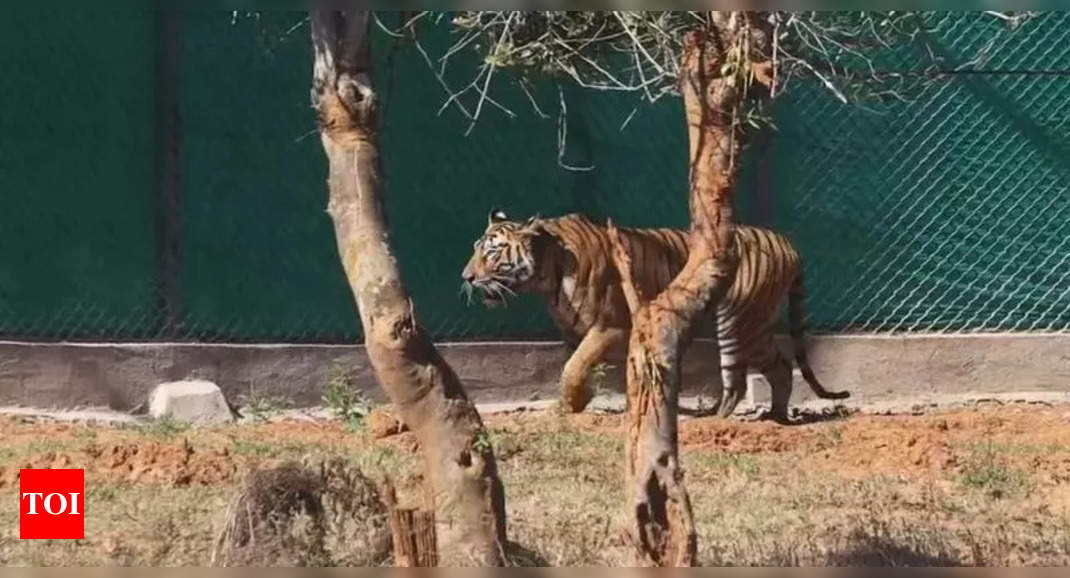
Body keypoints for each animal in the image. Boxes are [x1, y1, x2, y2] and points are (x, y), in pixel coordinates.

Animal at [460, 209, 850, 423]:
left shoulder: (610, 326)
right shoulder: (577, 333)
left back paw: (713, 420)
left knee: (738, 381)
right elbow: (576, 366)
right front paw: (579, 400)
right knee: (780, 367)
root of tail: (788, 244)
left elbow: (574, 366)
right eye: (475, 249)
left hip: (736, 320)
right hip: (756, 325)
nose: (465, 278)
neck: (547, 272)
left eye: (492, 252)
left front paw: (567, 407)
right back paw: (775, 417)